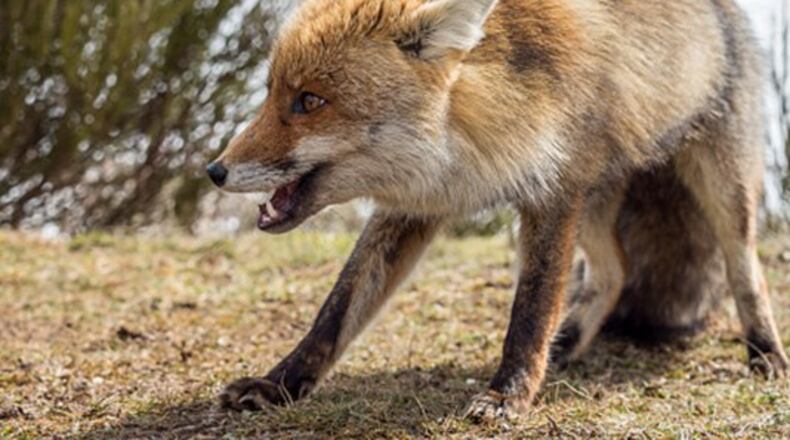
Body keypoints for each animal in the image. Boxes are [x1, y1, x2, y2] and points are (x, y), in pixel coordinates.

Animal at [206, 0, 788, 421]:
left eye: (309, 101)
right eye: (270, 93)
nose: (214, 170)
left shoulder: (554, 192)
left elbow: (529, 310)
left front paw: (508, 396)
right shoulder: (416, 203)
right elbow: (336, 310)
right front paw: (278, 384)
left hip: (720, 186)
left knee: (745, 266)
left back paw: (765, 353)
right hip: (596, 202)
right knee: (615, 272)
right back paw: (567, 343)